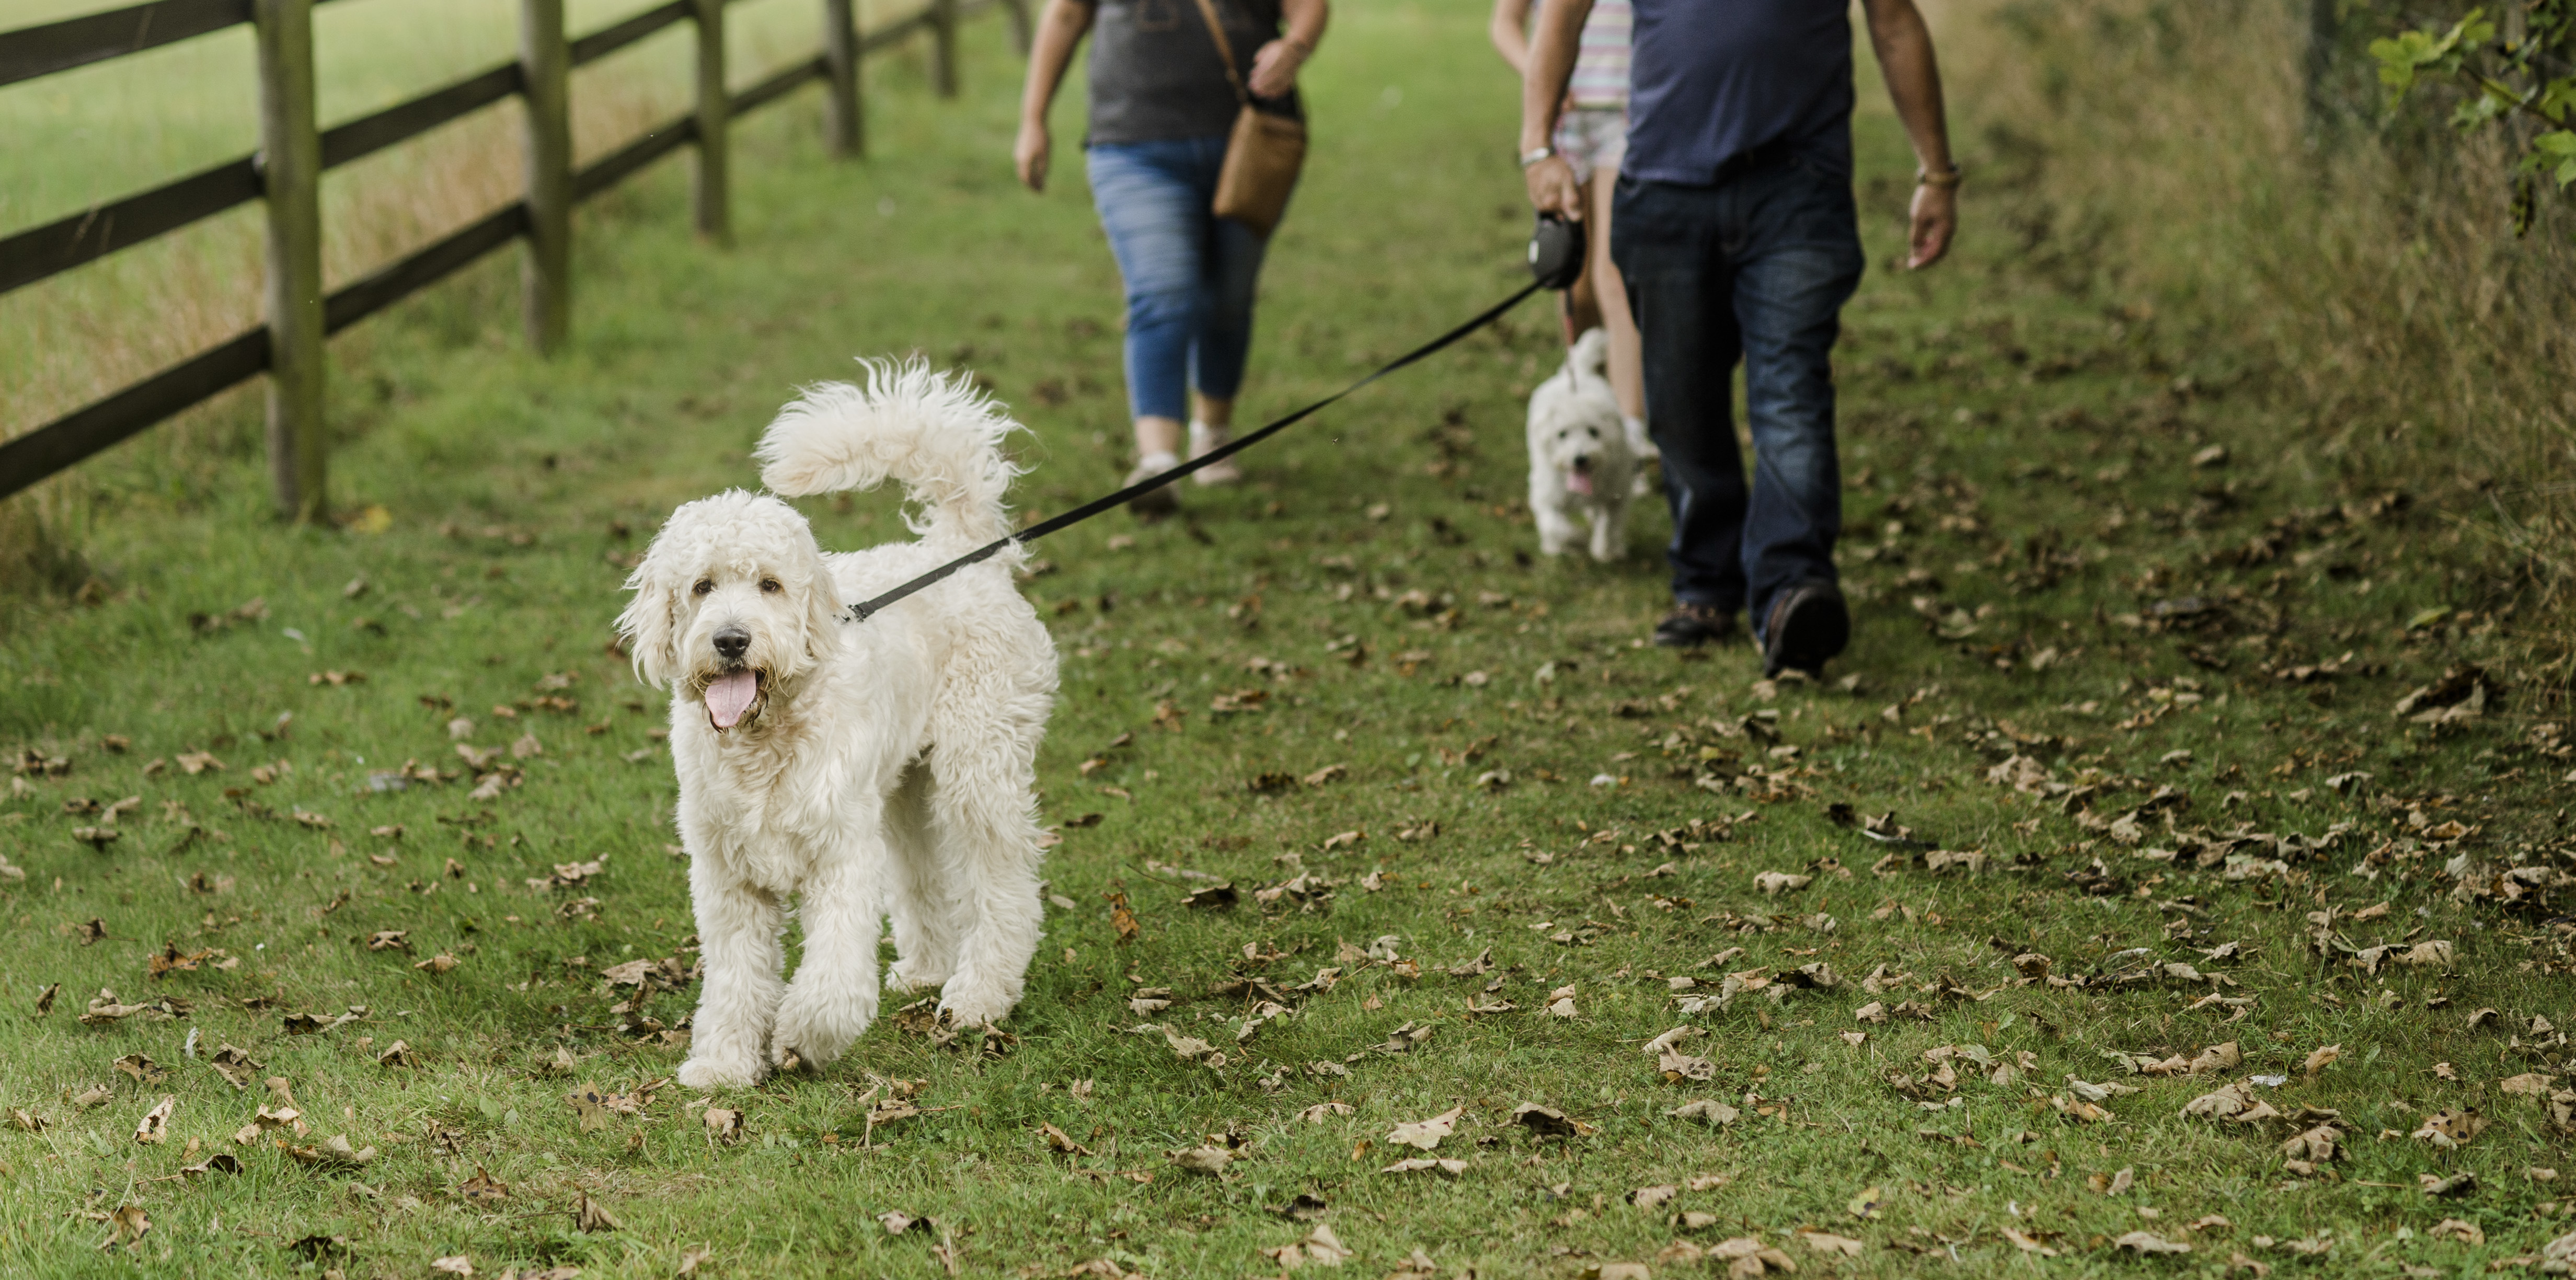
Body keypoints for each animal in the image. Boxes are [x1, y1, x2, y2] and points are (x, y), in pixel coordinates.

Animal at [618, 360, 1061, 1087]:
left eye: (769, 584)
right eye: (702, 585)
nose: (731, 641)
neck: (766, 740)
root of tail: (962, 549)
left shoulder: (840, 856)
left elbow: (832, 976)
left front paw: (803, 1037)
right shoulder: (727, 877)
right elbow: (734, 979)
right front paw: (722, 1062)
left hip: (979, 770)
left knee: (1004, 887)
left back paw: (979, 993)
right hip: (904, 790)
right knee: (922, 875)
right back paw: (929, 968)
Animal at [1525, 324, 1628, 559]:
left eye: (1594, 432)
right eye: (1562, 434)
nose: (1581, 458)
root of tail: (1577, 374)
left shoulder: (1615, 494)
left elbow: (1609, 524)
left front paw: (1603, 549)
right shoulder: (1546, 496)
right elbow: (1555, 526)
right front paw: (1576, 539)